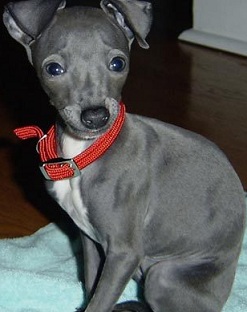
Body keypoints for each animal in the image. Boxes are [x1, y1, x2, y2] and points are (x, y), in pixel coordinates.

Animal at [2, 0, 246, 312]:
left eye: (118, 63)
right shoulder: (89, 240)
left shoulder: (124, 253)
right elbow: (91, 284)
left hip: (163, 276)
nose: (96, 116)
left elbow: (100, 301)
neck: (87, 152)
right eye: (53, 68)